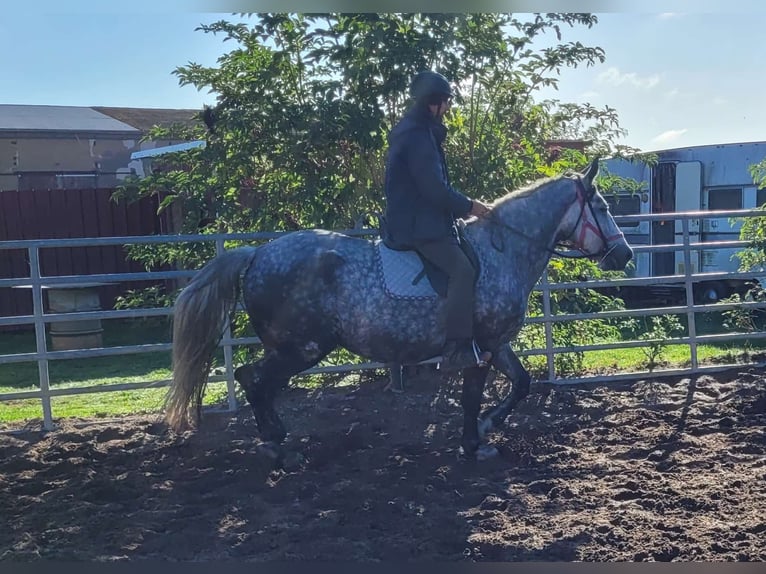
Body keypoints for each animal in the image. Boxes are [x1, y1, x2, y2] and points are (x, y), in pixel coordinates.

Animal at [165, 160, 632, 462]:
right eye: (604, 207)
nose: (624, 254)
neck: (502, 251)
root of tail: (258, 253)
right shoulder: (480, 346)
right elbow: (472, 397)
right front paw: (474, 442)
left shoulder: (496, 344)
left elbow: (521, 384)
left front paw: (485, 429)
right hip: (303, 347)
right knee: (253, 379)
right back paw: (278, 446)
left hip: (295, 348)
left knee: (252, 380)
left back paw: (274, 439)